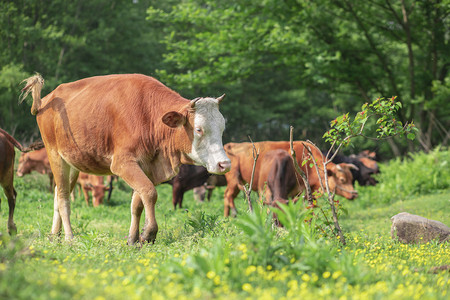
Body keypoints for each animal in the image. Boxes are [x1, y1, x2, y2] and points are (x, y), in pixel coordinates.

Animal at [20, 72, 229, 244]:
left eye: (222, 128)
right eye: (198, 129)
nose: (224, 164)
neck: (148, 116)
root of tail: (47, 100)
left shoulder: (147, 167)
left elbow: (138, 202)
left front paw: (133, 239)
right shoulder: (122, 164)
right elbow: (150, 193)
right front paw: (149, 233)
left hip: (72, 163)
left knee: (57, 193)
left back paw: (55, 235)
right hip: (55, 155)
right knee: (63, 197)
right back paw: (69, 238)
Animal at [222, 141, 358, 216]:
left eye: (351, 178)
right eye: (342, 179)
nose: (354, 194)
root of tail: (230, 145)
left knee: (227, 195)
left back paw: (226, 217)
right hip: (233, 180)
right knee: (228, 195)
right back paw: (233, 213)